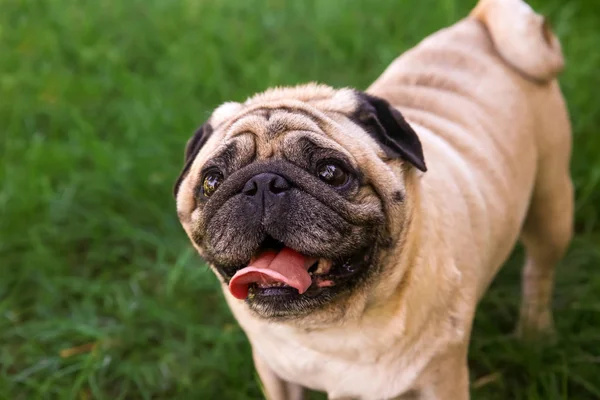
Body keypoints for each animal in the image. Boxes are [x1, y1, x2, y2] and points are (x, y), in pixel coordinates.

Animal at [172, 0, 572, 396]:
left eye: (332, 173)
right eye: (212, 181)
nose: (263, 183)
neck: (326, 329)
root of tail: (477, 21)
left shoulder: (441, 379)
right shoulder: (275, 371)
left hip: (551, 206)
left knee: (539, 270)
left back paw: (535, 332)